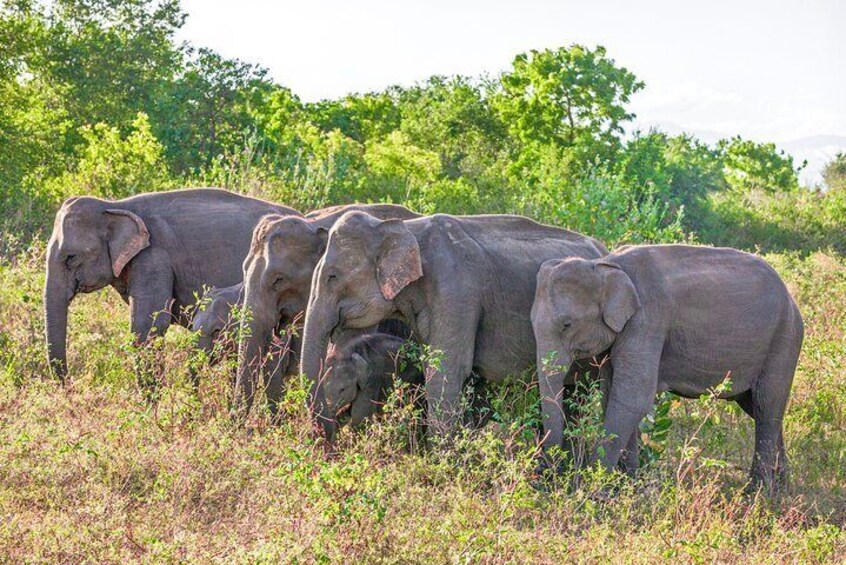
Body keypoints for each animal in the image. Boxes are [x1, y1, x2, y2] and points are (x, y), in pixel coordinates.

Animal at [532, 243, 804, 490]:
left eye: (567, 324)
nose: (549, 480)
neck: (606, 265)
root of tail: (791, 300)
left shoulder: (648, 320)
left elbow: (632, 398)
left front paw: (595, 489)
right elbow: (613, 396)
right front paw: (628, 485)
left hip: (784, 340)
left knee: (766, 405)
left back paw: (756, 494)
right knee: (758, 408)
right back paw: (781, 489)